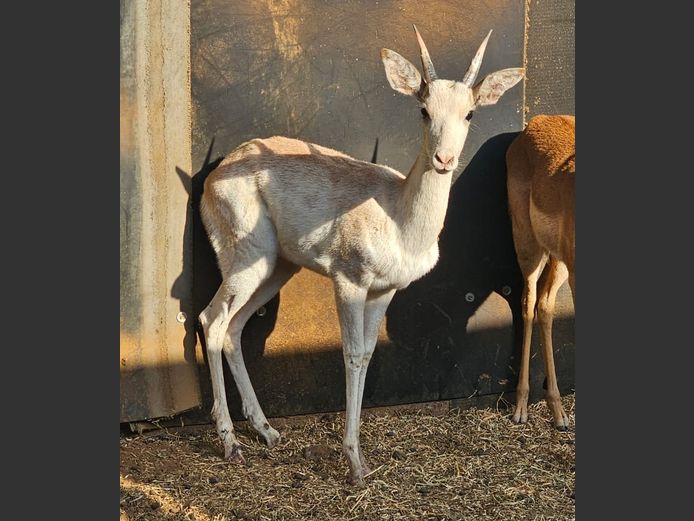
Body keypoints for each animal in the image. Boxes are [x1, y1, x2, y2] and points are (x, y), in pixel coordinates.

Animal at [199, 26, 523, 486]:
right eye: (423, 110)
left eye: (470, 113)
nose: (443, 159)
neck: (398, 218)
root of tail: (215, 173)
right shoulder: (349, 283)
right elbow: (351, 355)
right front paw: (354, 463)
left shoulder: (384, 291)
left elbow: (369, 354)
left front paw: (361, 460)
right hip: (247, 260)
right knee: (211, 320)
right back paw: (230, 444)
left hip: (277, 269)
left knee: (234, 328)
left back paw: (268, 431)